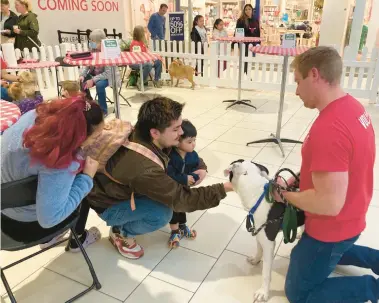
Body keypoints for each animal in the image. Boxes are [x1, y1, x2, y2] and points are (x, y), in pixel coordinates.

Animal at [226, 160, 306, 302]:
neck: (258, 196)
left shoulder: (269, 243)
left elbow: (266, 273)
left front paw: (263, 292)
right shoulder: (259, 232)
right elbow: (259, 249)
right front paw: (256, 259)